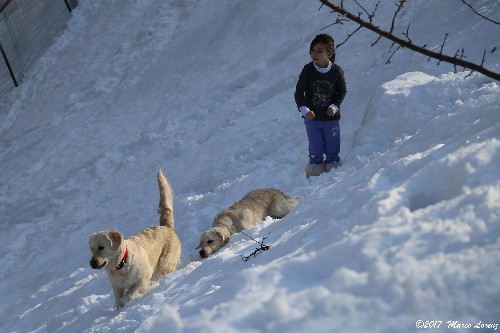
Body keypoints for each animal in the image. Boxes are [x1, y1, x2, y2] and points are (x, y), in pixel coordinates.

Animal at [89, 170, 181, 308]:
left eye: (101, 247)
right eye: (91, 249)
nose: (92, 263)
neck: (121, 263)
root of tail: (165, 227)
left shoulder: (144, 277)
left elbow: (132, 292)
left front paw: (130, 298)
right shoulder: (117, 287)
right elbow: (119, 301)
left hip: (164, 264)